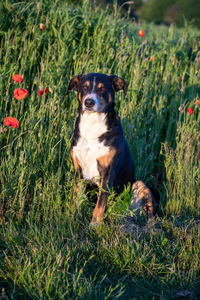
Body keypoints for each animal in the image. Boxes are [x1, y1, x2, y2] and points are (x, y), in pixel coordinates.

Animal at [66, 74, 154, 226]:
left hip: (139, 184)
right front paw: (74, 218)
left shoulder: (108, 173)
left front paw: (94, 225)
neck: (92, 125)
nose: (89, 102)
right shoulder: (78, 171)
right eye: (84, 87)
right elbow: (76, 199)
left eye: (102, 89)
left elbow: (100, 204)